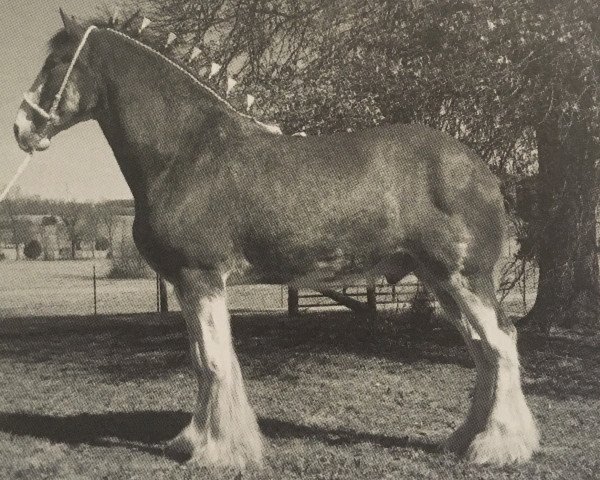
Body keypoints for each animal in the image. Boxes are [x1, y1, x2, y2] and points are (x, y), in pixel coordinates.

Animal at [12, 10, 540, 468]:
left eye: (56, 62)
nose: (21, 128)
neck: (188, 151)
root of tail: (484, 172)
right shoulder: (186, 283)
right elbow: (201, 361)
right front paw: (194, 441)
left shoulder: (201, 276)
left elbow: (213, 362)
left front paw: (217, 452)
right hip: (440, 281)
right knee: (483, 350)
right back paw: (466, 439)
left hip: (465, 277)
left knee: (500, 343)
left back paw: (498, 447)